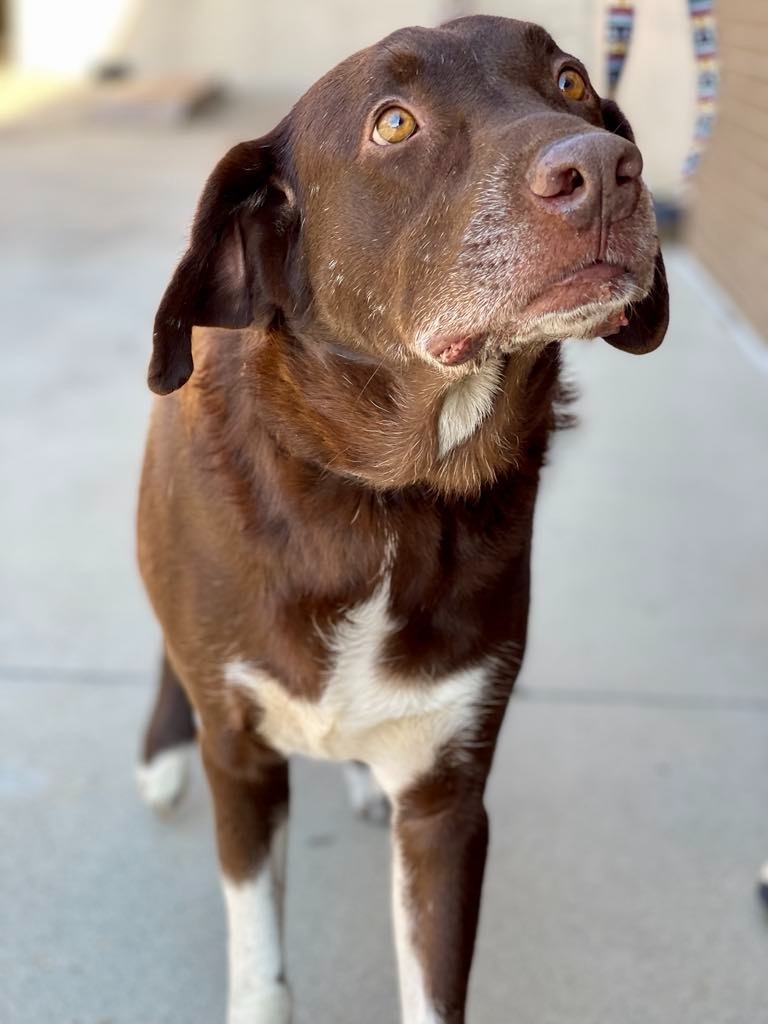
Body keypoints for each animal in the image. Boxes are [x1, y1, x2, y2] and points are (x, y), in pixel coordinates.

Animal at [137, 16, 667, 1024]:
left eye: (571, 81)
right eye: (393, 123)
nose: (605, 168)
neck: (382, 494)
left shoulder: (448, 800)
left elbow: (432, 985)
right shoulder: (243, 766)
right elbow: (259, 969)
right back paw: (160, 752)